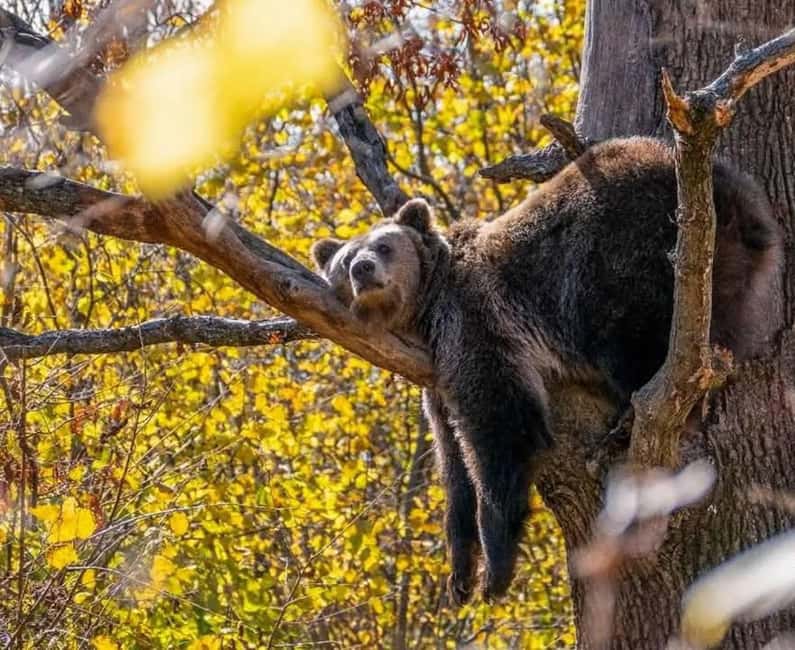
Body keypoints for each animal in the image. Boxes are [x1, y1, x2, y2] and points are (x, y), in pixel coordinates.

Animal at [310, 137, 783, 605]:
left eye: (384, 246)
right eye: (345, 259)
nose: (363, 269)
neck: (426, 316)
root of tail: (730, 192)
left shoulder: (478, 325)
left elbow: (502, 430)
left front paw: (496, 569)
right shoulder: (436, 376)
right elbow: (454, 463)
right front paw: (459, 572)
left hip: (627, 256)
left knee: (639, 341)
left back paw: (636, 419)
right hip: (731, 273)